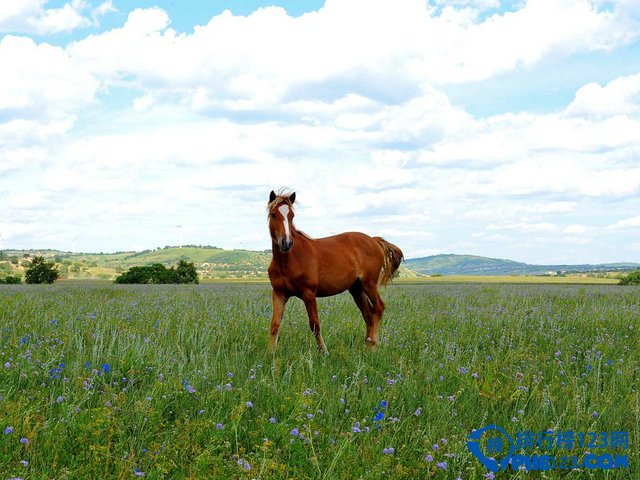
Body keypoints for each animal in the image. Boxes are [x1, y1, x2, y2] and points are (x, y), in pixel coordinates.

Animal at [268, 190, 402, 352]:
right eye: (273, 214)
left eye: (292, 215)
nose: (286, 243)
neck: (289, 260)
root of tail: (374, 240)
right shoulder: (279, 293)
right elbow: (274, 325)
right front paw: (270, 353)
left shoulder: (309, 294)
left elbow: (315, 324)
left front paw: (324, 351)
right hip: (356, 289)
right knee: (368, 315)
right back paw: (367, 344)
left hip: (369, 284)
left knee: (378, 309)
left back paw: (372, 345)